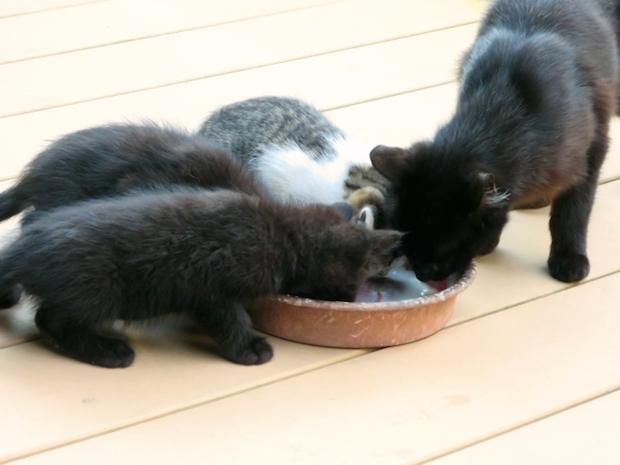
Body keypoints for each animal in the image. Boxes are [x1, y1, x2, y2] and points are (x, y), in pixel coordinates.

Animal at [0, 188, 402, 366]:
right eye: (352, 284)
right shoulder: (214, 292)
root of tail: (23, 246)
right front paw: (248, 348)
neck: (281, 233)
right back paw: (106, 350)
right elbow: (231, 320)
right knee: (49, 318)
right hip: (99, 289)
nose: (348, 300)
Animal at [368, 0, 620, 282]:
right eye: (408, 246)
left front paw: (568, 258)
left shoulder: (592, 150)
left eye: (445, 248)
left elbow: (573, 211)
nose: (423, 274)